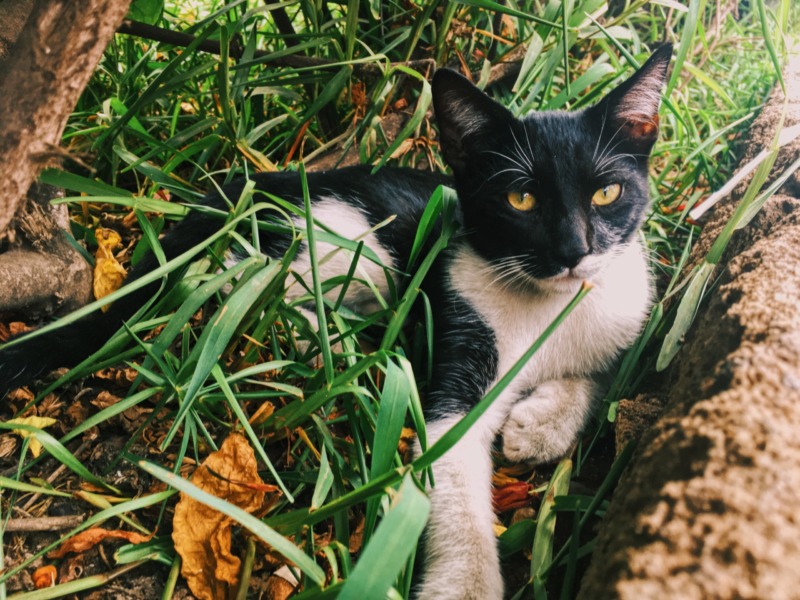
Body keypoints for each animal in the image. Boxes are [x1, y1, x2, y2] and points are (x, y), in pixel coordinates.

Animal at [0, 43, 668, 600]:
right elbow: (452, 466)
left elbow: (607, 381)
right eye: (520, 199)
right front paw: (464, 583)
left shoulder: (627, 318)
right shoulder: (457, 328)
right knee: (246, 291)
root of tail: (235, 192)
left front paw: (541, 426)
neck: (549, 306)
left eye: (607, 193)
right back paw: (321, 343)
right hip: (349, 244)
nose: (574, 250)